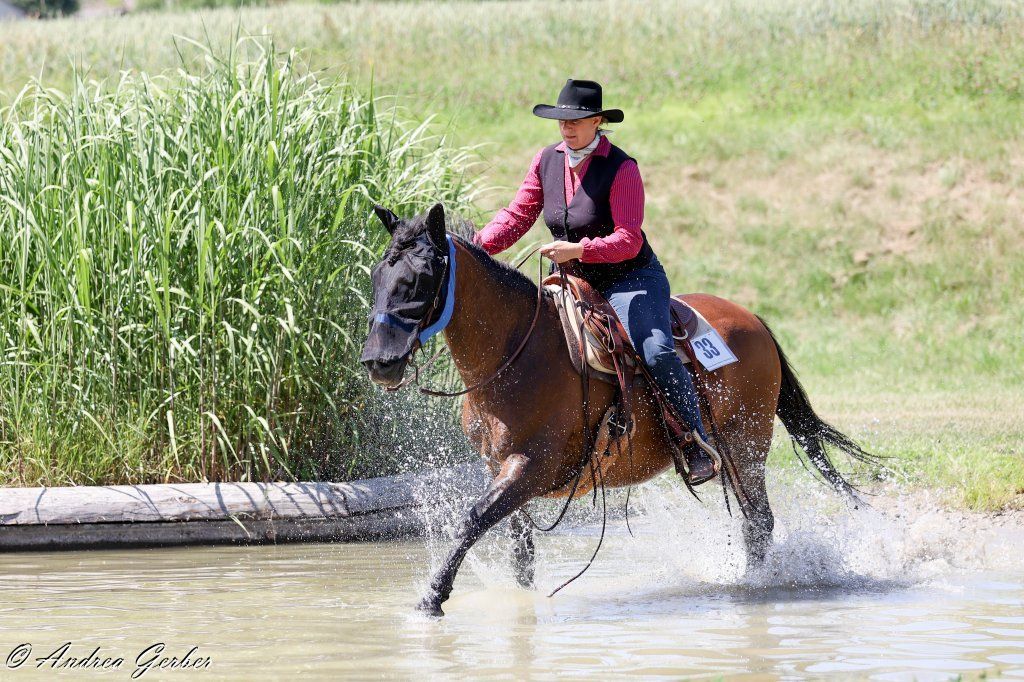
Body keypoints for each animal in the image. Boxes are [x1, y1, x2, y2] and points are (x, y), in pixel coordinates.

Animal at [360, 203, 875, 617]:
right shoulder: (497, 466)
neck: (517, 353)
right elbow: (519, 548)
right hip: (732, 454)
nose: (379, 362)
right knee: (754, 523)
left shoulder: (529, 467)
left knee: (760, 522)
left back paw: (753, 587)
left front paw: (432, 598)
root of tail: (754, 320)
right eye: (376, 276)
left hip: (746, 447)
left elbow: (472, 520)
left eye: (419, 278)